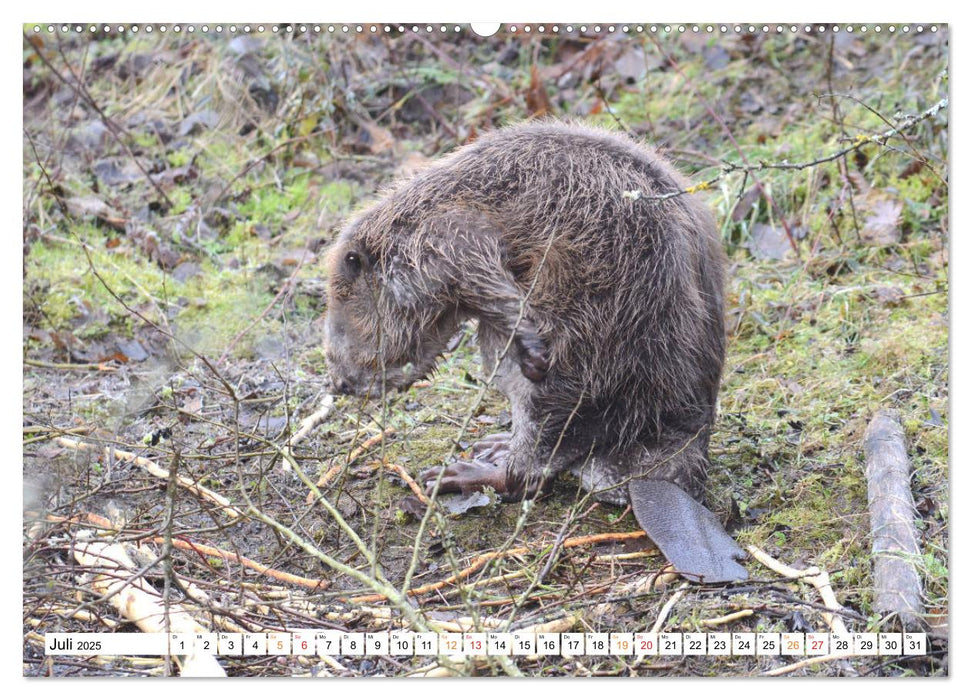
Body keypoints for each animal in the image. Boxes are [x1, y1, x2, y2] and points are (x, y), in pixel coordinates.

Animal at [326, 123, 752, 584]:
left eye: (339, 317)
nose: (340, 382)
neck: (415, 218)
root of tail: (661, 477)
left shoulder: (444, 243)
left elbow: (494, 288)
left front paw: (532, 351)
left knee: (530, 473)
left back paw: (457, 473)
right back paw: (492, 445)